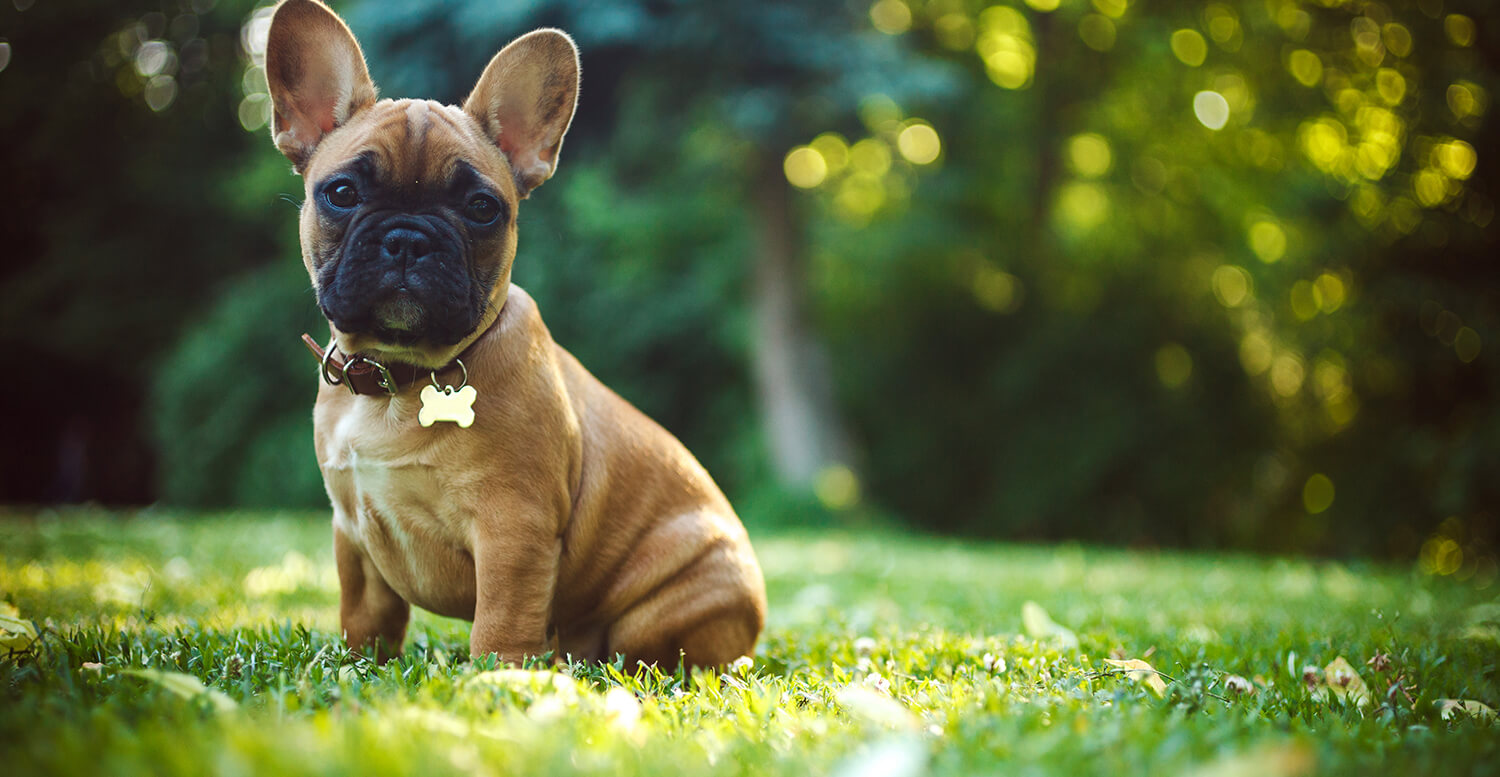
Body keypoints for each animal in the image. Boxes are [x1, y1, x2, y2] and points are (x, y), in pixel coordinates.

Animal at [259, 0, 768, 669]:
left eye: (482, 208)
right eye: (341, 193)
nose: (407, 238)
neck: (400, 376)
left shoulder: (514, 528)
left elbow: (502, 615)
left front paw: (499, 677)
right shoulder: (353, 533)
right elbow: (365, 612)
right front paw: (359, 665)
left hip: (672, 601)